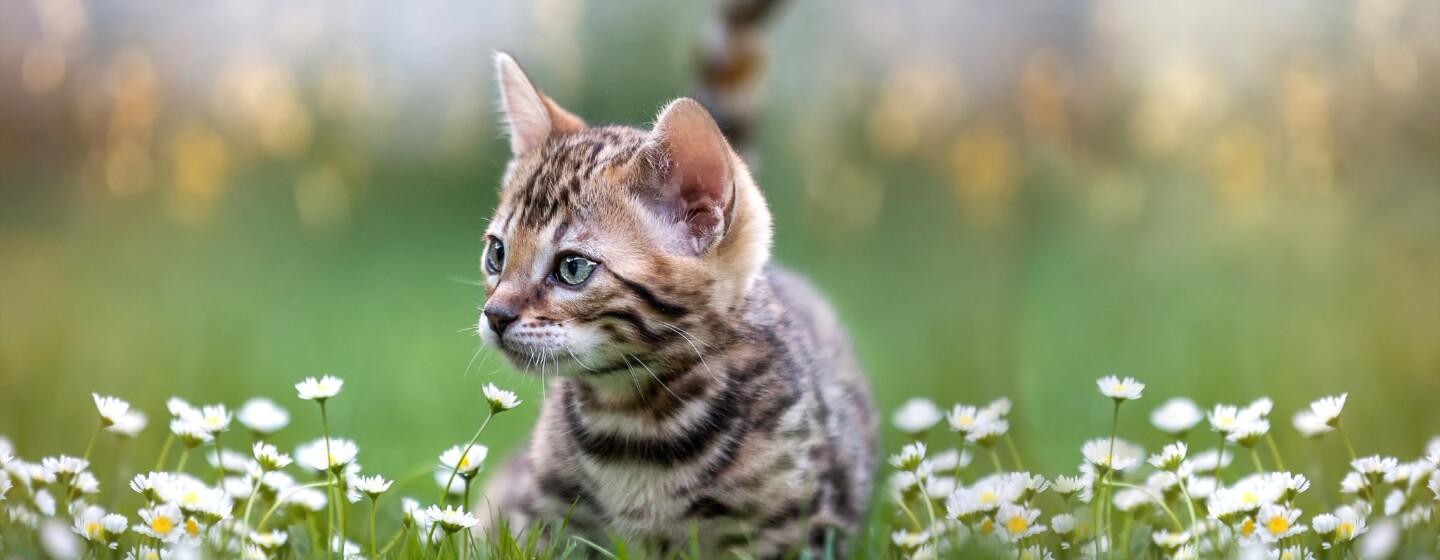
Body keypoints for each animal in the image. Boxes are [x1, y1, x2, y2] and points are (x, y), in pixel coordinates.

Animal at [478, 53, 875, 558]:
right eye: (497, 254)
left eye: (572, 268)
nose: (495, 315)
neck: (633, 422)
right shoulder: (548, 521)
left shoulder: (794, 528)